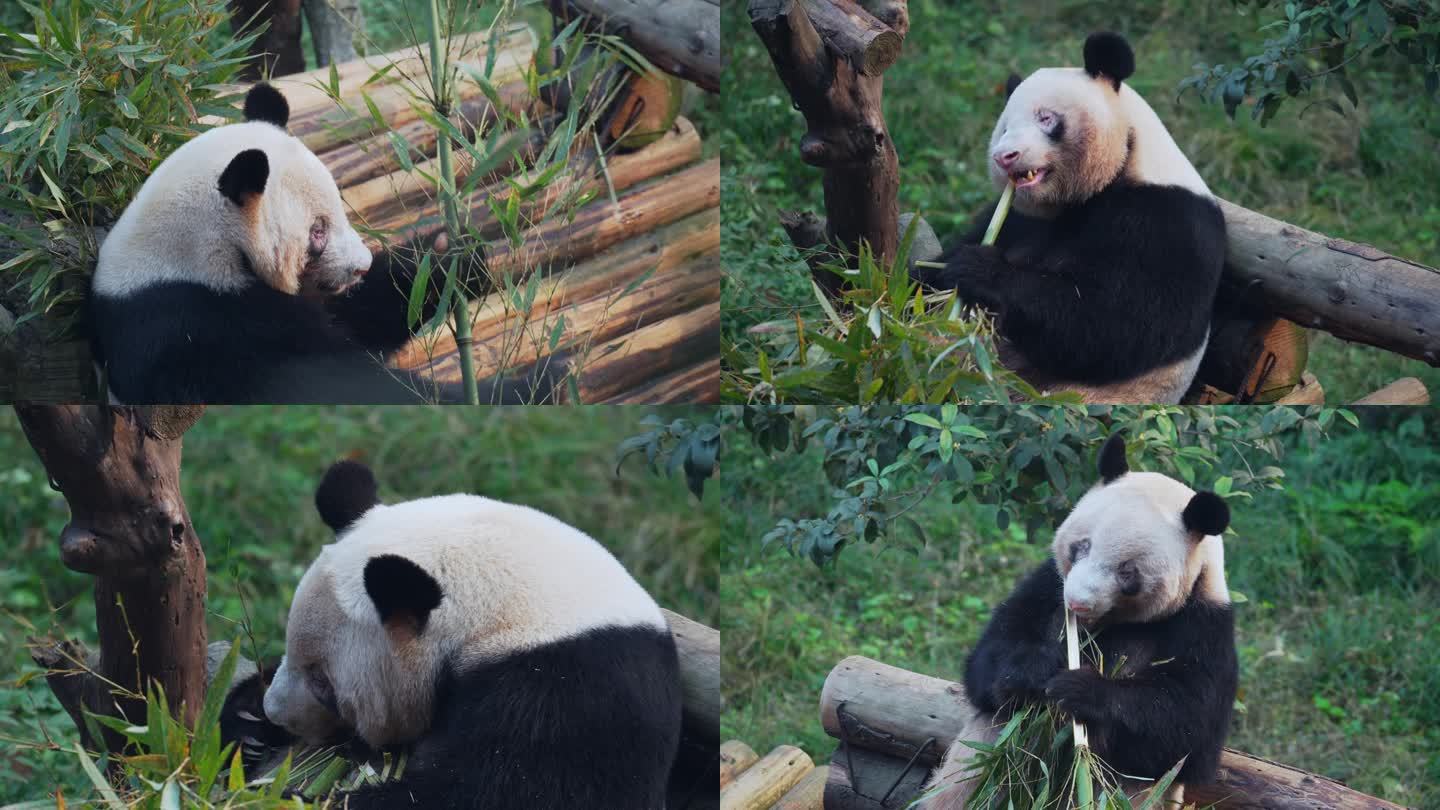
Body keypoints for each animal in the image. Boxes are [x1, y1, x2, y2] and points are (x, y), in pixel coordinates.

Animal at [90, 82, 550, 403]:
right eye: (317, 231)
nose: (362, 265)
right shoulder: (199, 328)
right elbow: (336, 383)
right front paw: (536, 384)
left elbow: (361, 318)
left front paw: (450, 255)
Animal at [915, 31, 1221, 403]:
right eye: (1004, 128)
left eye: (1045, 118)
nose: (1004, 157)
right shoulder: (1018, 217)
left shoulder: (1169, 223)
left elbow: (1115, 325)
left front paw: (978, 268)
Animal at [921, 432, 1238, 801]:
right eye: (1082, 546)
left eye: (1127, 572)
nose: (1077, 603)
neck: (1107, 625)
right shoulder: (1046, 587)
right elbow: (988, 661)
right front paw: (1035, 670)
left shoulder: (1202, 624)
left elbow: (1188, 733)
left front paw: (1080, 690)